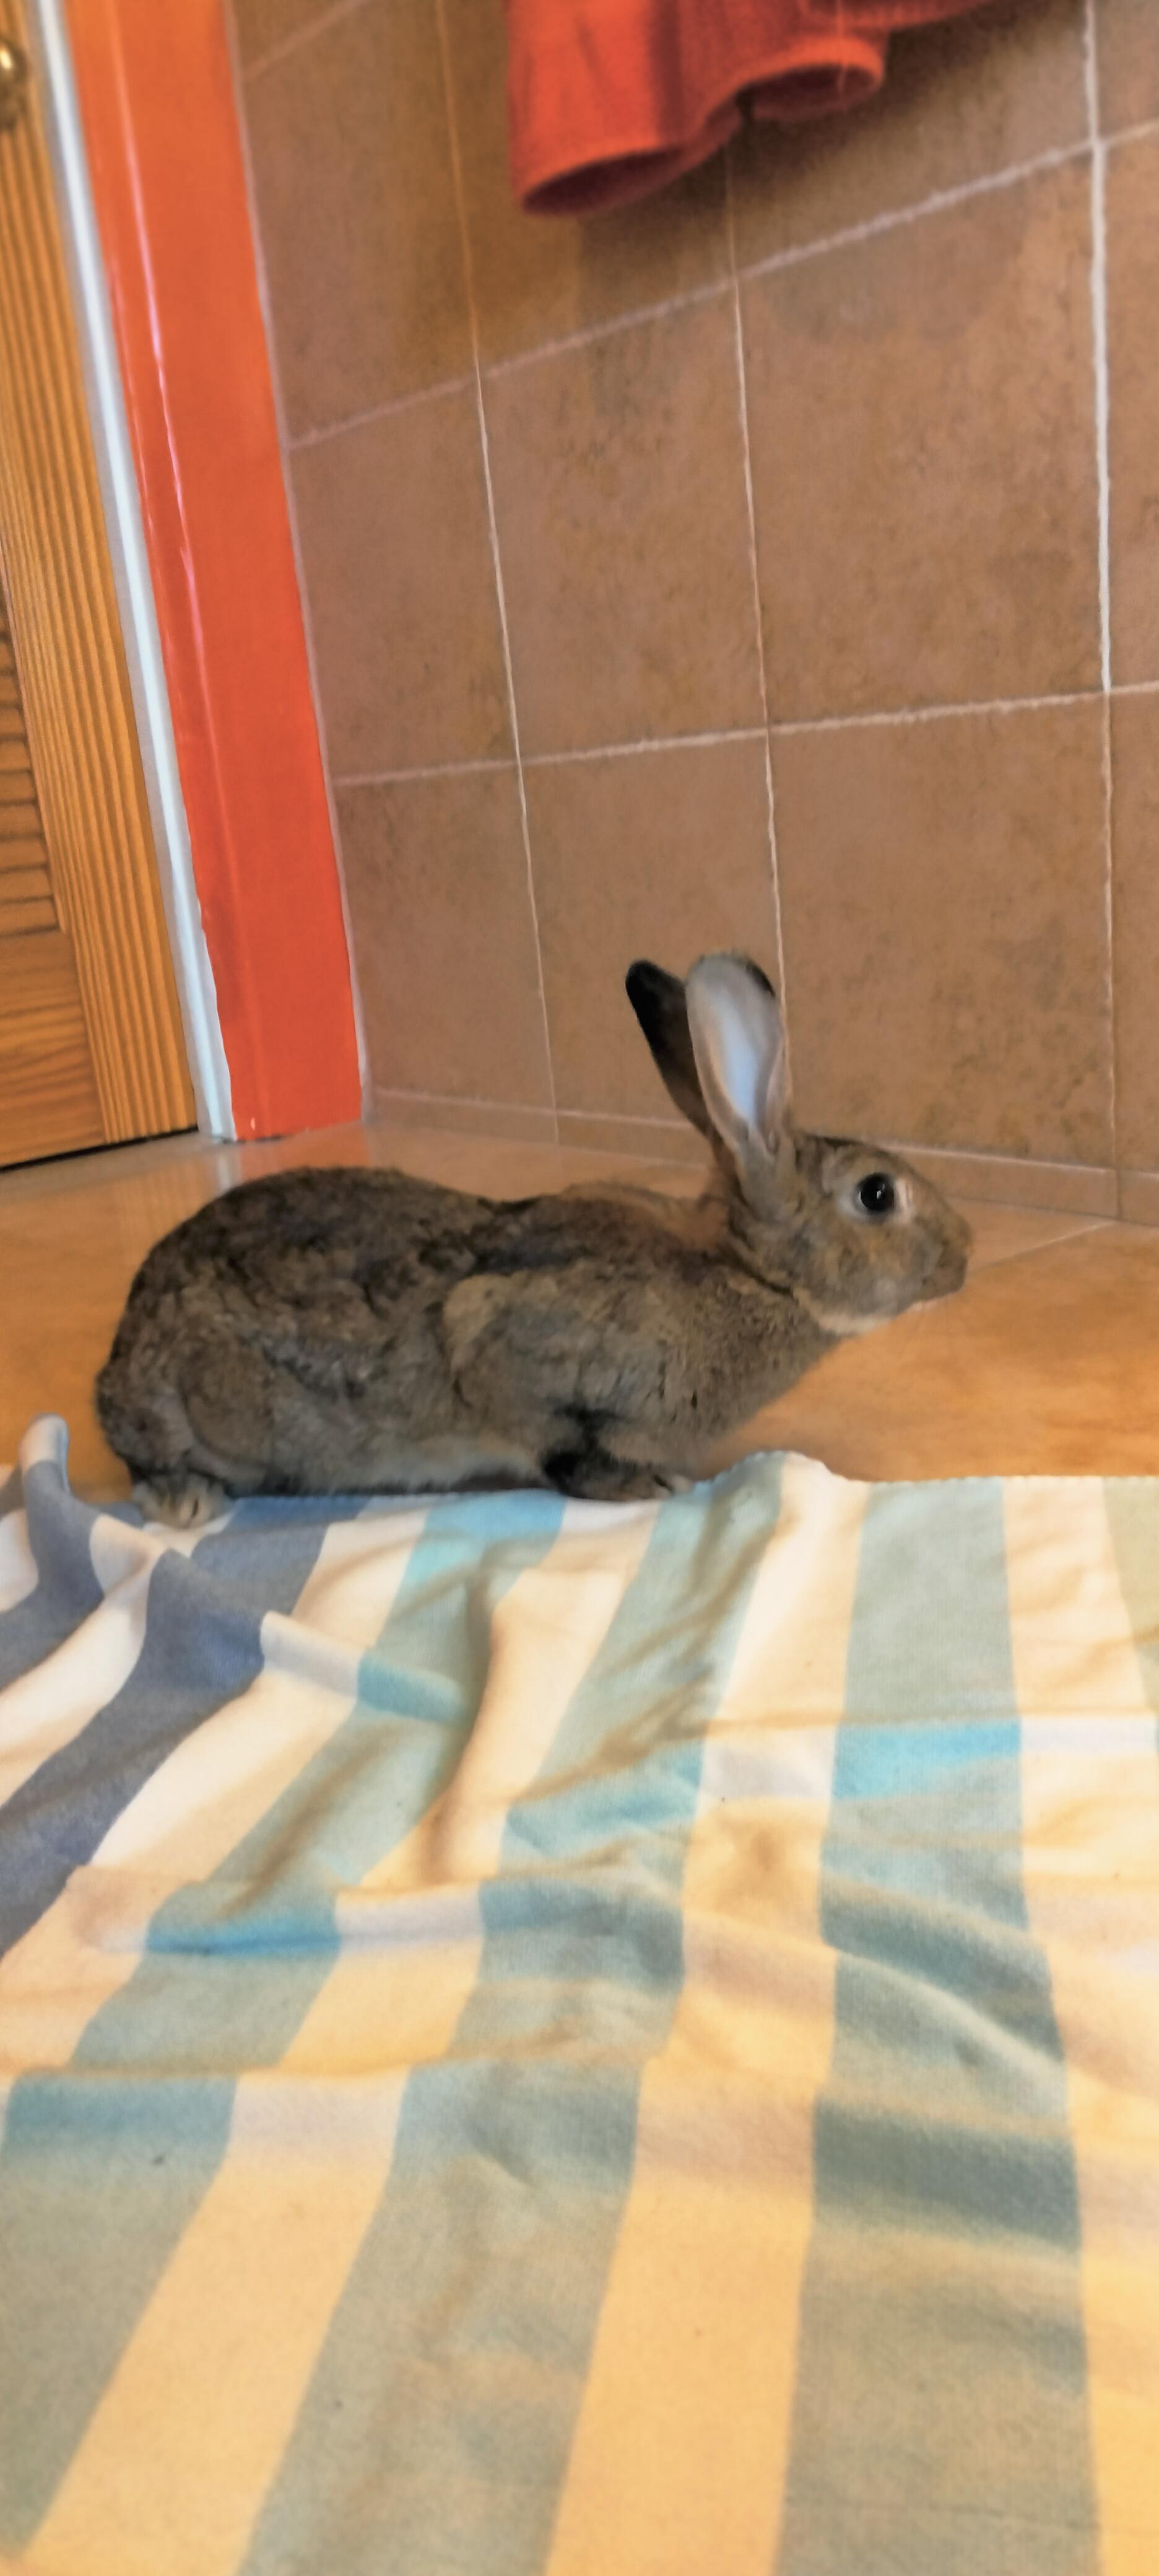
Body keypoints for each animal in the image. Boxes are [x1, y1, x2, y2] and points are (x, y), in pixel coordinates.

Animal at [96, 951, 971, 1525]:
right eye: (878, 1194)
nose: (965, 1255)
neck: (747, 1274)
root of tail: (122, 1340)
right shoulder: (510, 1351)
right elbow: (555, 1442)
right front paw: (644, 1486)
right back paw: (184, 1499)